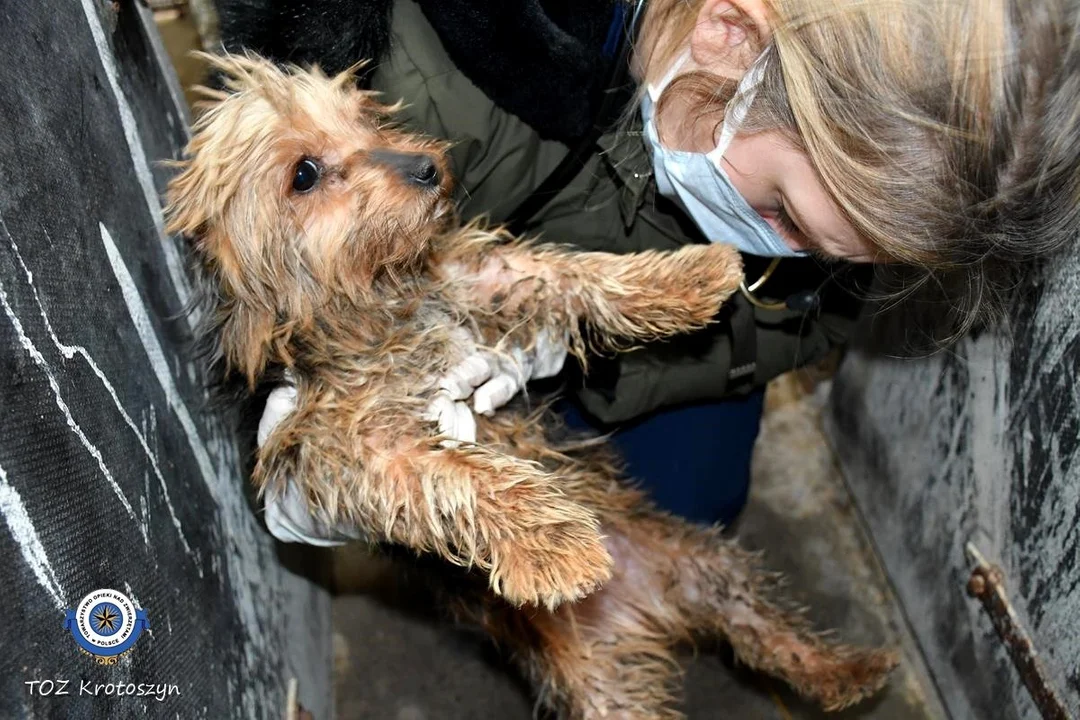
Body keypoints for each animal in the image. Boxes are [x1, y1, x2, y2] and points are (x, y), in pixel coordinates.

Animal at [166, 55, 894, 720]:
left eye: (366, 116)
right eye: (304, 174)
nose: (425, 167)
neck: (375, 299)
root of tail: (650, 609)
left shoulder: (481, 282)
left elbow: (573, 277)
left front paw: (692, 274)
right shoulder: (351, 447)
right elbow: (462, 478)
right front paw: (559, 544)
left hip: (713, 566)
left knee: (769, 632)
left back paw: (850, 669)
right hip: (604, 684)